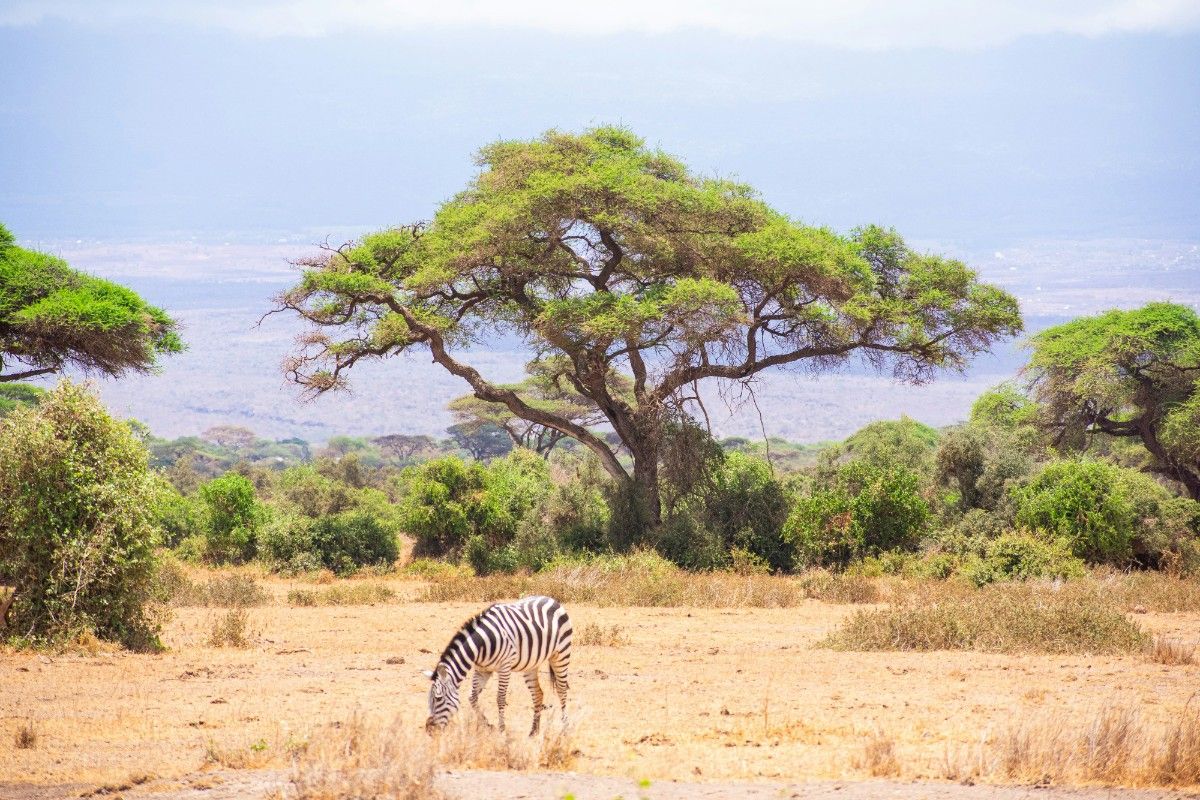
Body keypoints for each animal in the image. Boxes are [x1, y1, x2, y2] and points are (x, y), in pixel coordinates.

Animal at [422, 594, 571, 738]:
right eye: (429, 699)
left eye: (438, 698)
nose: (430, 731)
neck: (481, 645)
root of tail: (551, 599)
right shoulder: (482, 669)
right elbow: (472, 698)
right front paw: (488, 726)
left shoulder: (504, 667)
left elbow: (500, 699)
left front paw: (501, 730)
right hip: (531, 664)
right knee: (538, 694)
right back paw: (533, 732)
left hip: (561, 655)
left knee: (562, 690)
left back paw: (564, 730)